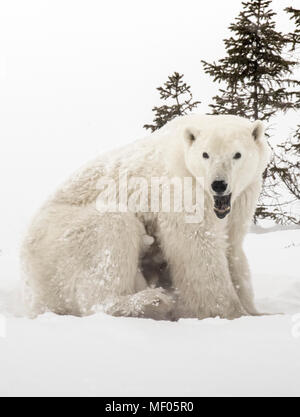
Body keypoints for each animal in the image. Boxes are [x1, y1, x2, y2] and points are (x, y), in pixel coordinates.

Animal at [21, 114, 270, 318]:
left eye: (237, 154)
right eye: (205, 154)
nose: (218, 184)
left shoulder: (243, 196)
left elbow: (233, 247)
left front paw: (254, 310)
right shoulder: (180, 190)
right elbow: (197, 247)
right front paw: (230, 311)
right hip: (62, 237)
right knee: (111, 233)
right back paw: (152, 301)